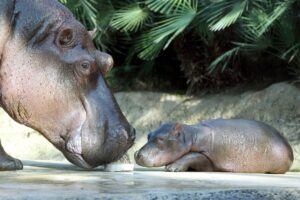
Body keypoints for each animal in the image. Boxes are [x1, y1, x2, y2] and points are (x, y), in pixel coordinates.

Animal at [135, 119, 294, 173]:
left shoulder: (208, 158)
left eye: (161, 139)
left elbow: (192, 155)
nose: (136, 154)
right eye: (149, 135)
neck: (191, 136)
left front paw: (171, 168)